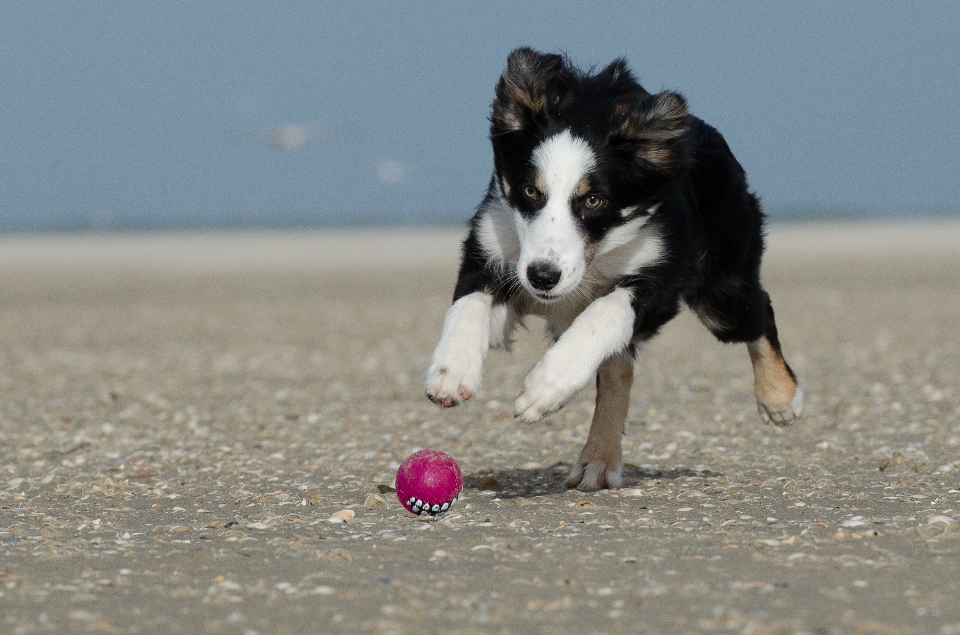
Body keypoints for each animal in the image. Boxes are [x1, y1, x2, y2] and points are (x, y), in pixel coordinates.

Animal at [424, 48, 800, 492]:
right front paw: (451, 372)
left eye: (594, 200)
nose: (543, 277)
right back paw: (599, 460)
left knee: (758, 312)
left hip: (721, 289)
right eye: (531, 190)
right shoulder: (496, 251)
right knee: (618, 369)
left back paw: (780, 399)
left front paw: (543, 388)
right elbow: (468, 304)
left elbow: (604, 313)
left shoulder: (661, 278)